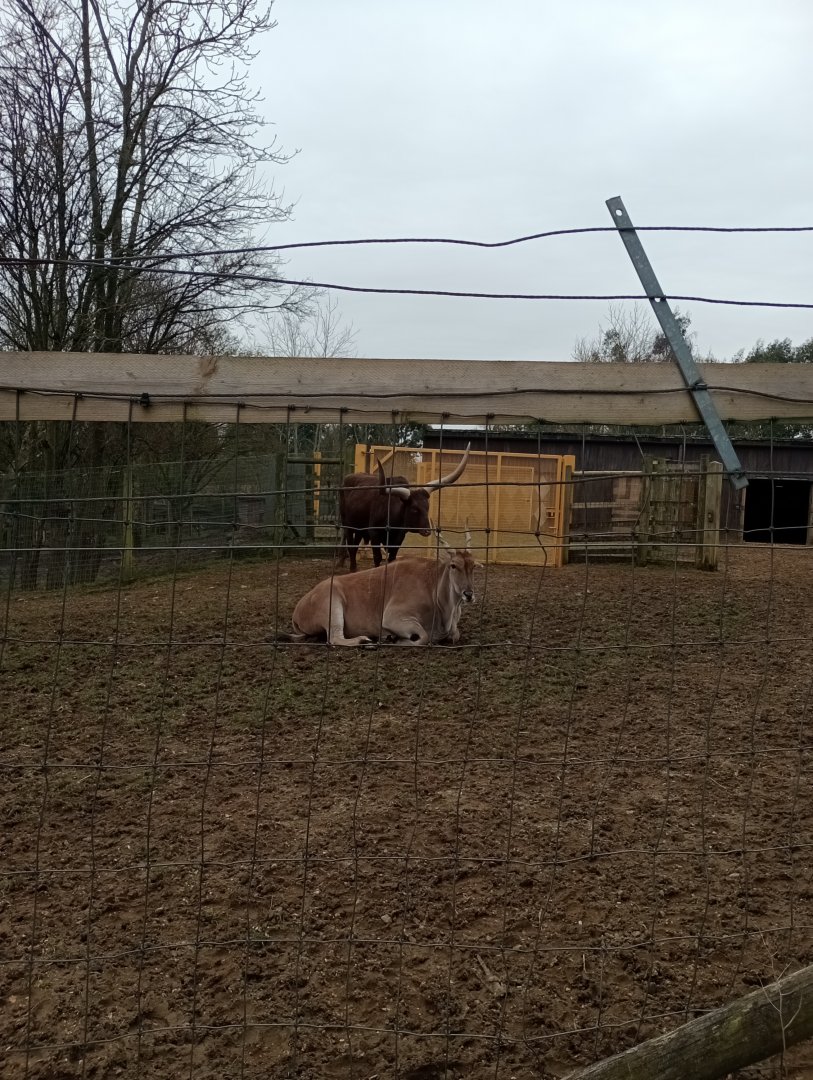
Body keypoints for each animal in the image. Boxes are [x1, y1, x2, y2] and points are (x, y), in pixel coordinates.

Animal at [285, 547, 480, 647]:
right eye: (454, 566)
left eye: (473, 566)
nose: (468, 594)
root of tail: (298, 610)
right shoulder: (392, 618)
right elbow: (424, 637)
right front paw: (396, 640)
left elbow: (455, 635)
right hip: (332, 607)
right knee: (334, 638)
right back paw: (363, 641)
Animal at [338, 444, 470, 572]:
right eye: (414, 509)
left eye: (427, 507)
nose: (427, 531)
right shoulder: (374, 534)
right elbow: (377, 558)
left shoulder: (399, 538)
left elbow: (392, 558)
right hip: (347, 524)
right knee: (350, 546)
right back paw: (352, 569)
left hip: (359, 527)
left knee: (355, 546)